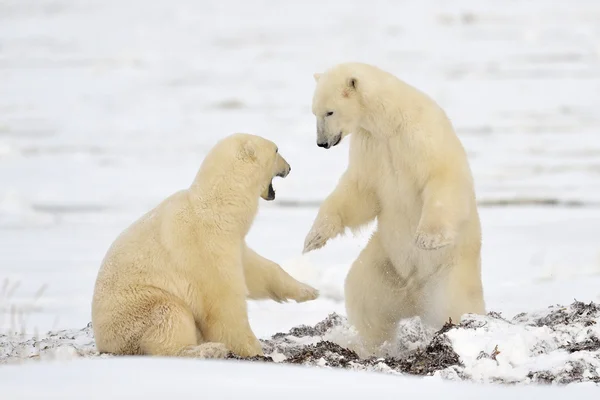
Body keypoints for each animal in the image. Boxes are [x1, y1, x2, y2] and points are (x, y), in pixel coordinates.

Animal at [91, 133, 318, 358]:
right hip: (137, 309)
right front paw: (252, 349)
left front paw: (309, 291)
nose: (289, 167)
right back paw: (209, 349)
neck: (217, 206)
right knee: (168, 315)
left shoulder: (231, 240)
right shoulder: (204, 246)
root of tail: (105, 343)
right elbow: (223, 303)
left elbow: (257, 271)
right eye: (276, 150)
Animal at [302, 61, 486, 354]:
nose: (322, 143)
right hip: (384, 264)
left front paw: (427, 239)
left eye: (329, 111)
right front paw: (314, 237)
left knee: (454, 305)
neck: (388, 122)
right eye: (314, 112)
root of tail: (415, 298)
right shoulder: (370, 147)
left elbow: (441, 179)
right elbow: (360, 191)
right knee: (365, 298)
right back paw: (370, 347)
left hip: (449, 274)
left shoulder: (420, 138)